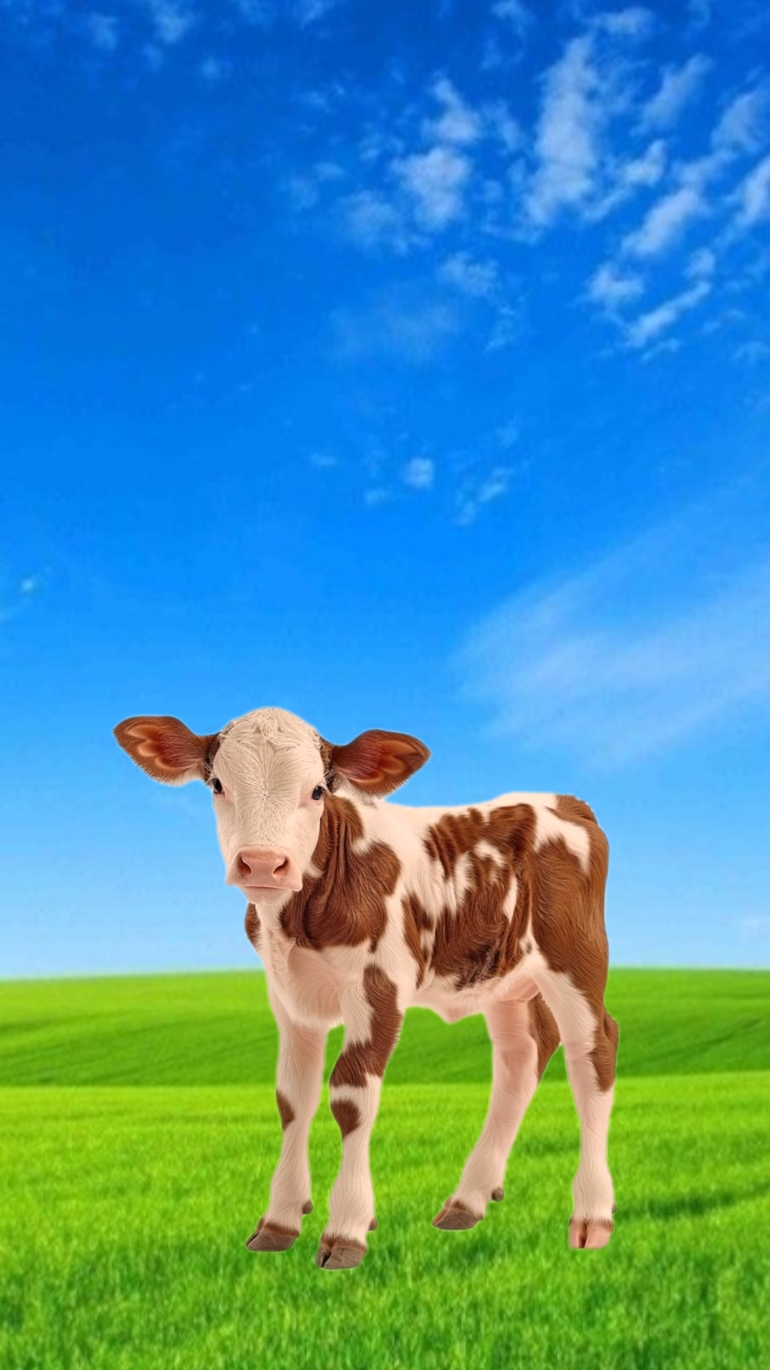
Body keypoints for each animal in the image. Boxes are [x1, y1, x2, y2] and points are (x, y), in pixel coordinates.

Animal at [114, 705, 618, 1269]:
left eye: (317, 790)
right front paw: (280, 1219)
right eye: (218, 784)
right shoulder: (287, 996)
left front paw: (347, 1228)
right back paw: (468, 1200)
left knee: (593, 1054)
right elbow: (293, 1099)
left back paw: (592, 1215)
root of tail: (564, 801)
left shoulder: (379, 987)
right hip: (502, 979)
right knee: (521, 1059)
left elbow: (350, 1096)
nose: (263, 863)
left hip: (575, 958)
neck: (297, 919)